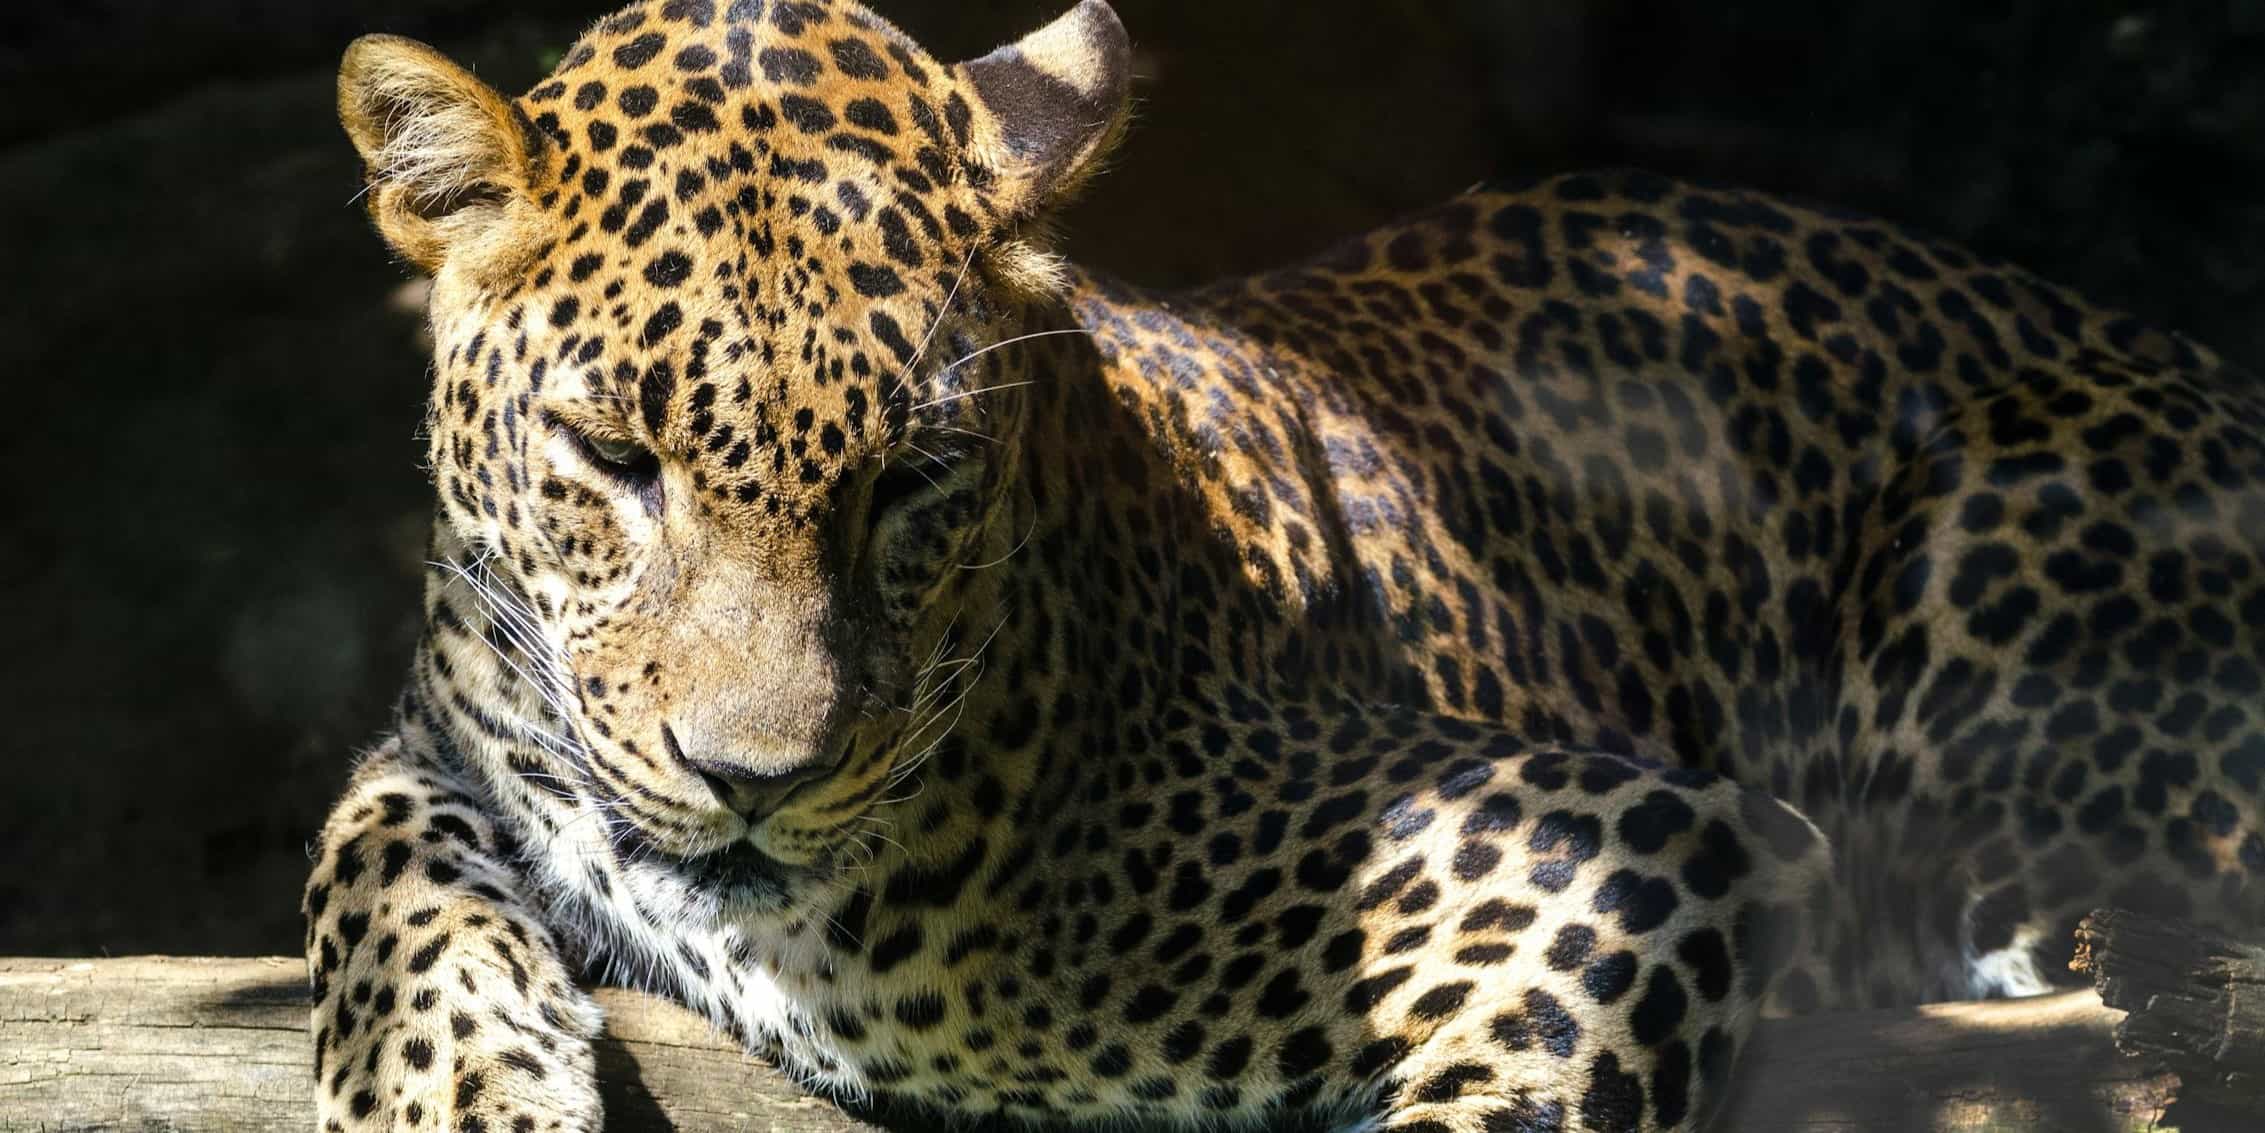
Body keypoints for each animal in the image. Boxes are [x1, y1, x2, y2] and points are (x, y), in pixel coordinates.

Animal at [302, 0, 2265, 1129]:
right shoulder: (452, 722)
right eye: (611, 461)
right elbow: (367, 841)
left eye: (914, 481)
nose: (756, 781)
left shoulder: (1628, 839)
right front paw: (452, 1088)